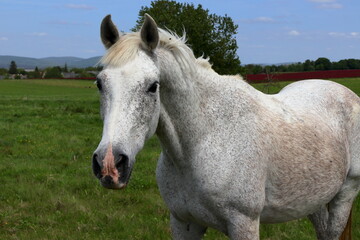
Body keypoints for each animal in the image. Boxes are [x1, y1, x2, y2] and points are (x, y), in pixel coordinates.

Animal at [93, 14, 360, 239]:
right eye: (99, 83)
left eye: (152, 86)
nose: (109, 164)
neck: (202, 143)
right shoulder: (183, 222)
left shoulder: (244, 223)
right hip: (313, 200)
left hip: (344, 194)